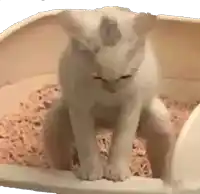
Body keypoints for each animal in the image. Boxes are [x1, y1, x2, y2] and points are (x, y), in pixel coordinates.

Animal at [43, 6, 175, 182]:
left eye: (125, 76)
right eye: (97, 77)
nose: (112, 89)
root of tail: (106, 125)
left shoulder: (132, 103)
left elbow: (122, 139)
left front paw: (116, 172)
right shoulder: (79, 105)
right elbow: (85, 140)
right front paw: (91, 172)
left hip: (158, 120)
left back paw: (162, 180)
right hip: (57, 119)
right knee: (61, 159)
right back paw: (65, 171)